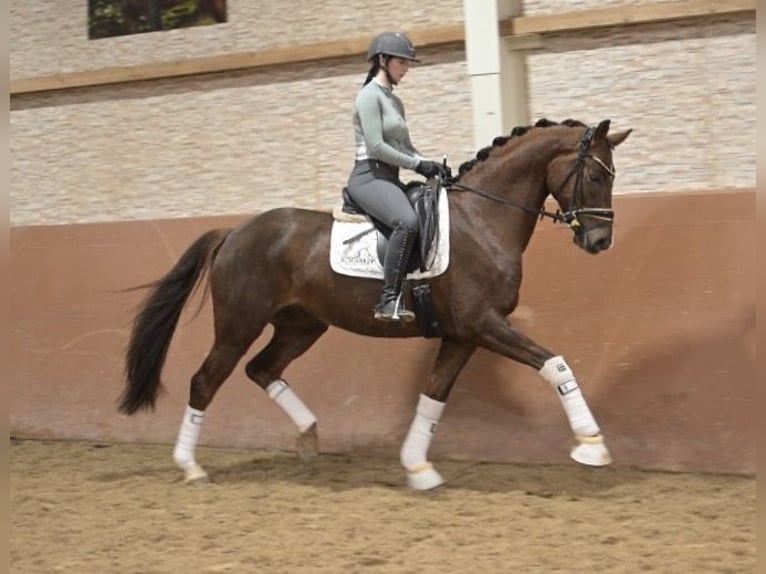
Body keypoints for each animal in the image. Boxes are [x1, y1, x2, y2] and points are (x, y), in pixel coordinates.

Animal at [118, 118, 632, 490]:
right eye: (593, 174)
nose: (600, 241)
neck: (483, 220)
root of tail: (235, 232)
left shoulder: (463, 335)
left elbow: (433, 395)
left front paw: (418, 469)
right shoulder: (484, 324)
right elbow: (556, 364)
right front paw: (592, 446)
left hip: (301, 326)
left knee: (262, 369)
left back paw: (308, 437)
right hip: (238, 324)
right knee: (206, 381)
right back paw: (191, 467)